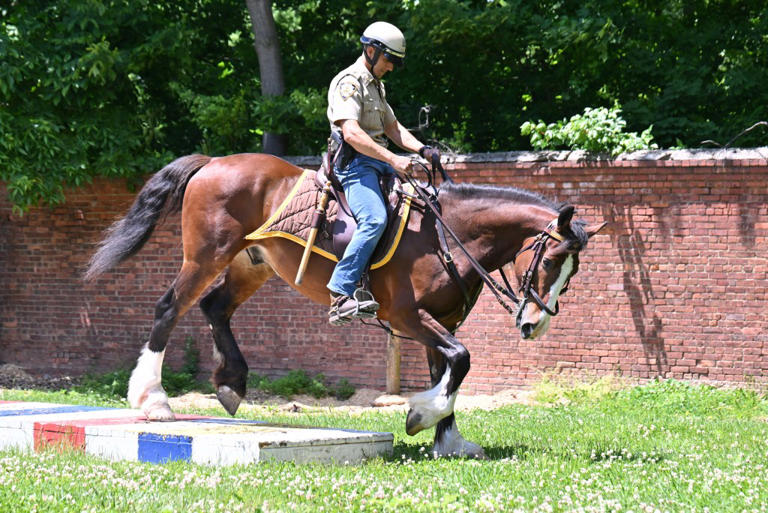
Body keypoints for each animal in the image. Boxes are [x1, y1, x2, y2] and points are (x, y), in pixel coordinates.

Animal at [85, 151, 608, 456]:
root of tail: (214, 160)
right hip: (206, 256)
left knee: (216, 309)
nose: (535, 324)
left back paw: (231, 382)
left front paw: (450, 438)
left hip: (253, 264)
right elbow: (461, 360)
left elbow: (449, 368)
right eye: (550, 259)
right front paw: (421, 415)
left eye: (572, 272)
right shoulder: (406, 315)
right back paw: (154, 401)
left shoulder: (441, 319)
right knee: (168, 308)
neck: (446, 233)